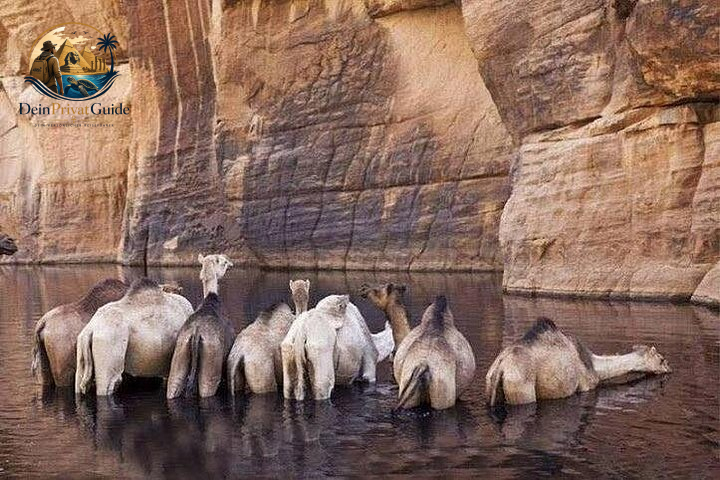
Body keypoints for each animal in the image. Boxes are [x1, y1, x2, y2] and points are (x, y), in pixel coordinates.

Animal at [167, 254, 234, 398]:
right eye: (224, 262)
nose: (230, 263)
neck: (211, 298)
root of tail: (196, 332)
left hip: (178, 360)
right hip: (210, 370)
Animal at [485, 317, 672, 406]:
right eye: (662, 359)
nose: (670, 369)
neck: (595, 367)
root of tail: (501, 366)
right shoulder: (586, 386)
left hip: (491, 386)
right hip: (521, 388)